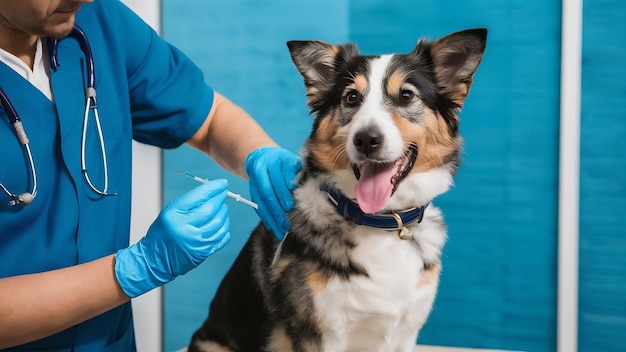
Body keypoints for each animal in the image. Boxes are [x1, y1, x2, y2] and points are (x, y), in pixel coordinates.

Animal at [188, 28, 486, 352]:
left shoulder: (407, 333)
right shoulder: (319, 335)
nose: (366, 139)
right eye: (351, 97)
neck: (380, 223)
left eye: (406, 95)